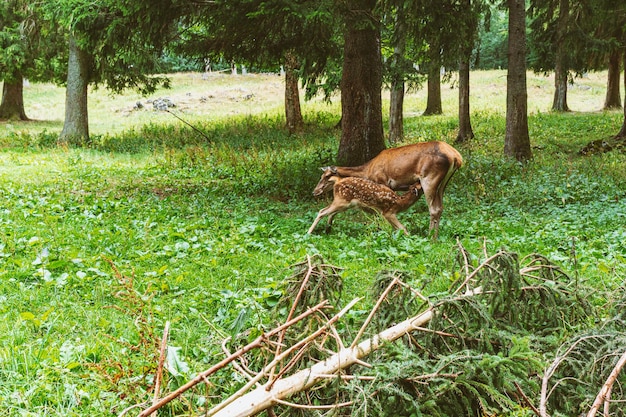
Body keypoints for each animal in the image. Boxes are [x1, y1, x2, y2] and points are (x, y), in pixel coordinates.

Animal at [314, 141, 460, 239]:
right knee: (440, 208)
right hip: (443, 183)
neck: (367, 171)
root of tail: (457, 157)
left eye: (326, 176)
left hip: (429, 178)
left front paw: (382, 230)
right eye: (321, 176)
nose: (315, 191)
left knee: (433, 209)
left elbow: (378, 211)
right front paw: (328, 228)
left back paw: (430, 236)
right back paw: (435, 236)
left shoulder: (382, 181)